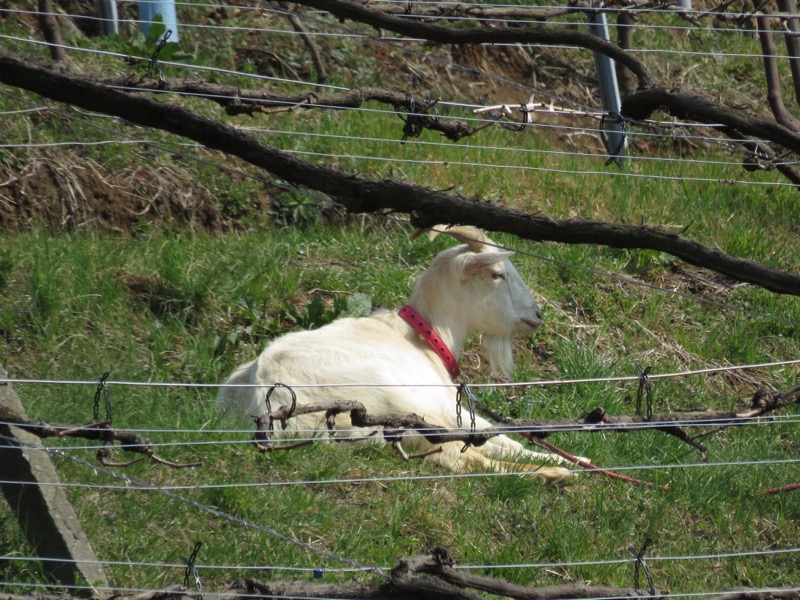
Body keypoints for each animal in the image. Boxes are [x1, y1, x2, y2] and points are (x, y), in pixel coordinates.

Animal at [220, 226, 576, 482]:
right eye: (497, 274)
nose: (537, 314)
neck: (425, 339)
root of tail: (261, 401)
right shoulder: (444, 406)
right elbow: (497, 440)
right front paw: (559, 459)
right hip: (393, 403)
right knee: (458, 457)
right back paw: (555, 474)